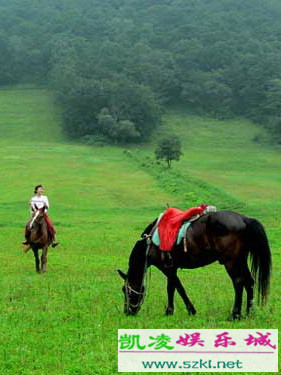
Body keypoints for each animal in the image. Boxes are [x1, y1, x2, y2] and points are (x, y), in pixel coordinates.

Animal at [117, 210, 270, 322]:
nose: (127, 312)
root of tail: (244, 219)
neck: (151, 243)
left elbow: (178, 288)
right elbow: (172, 288)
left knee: (238, 282)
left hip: (231, 261)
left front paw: (188, 310)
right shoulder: (172, 268)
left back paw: (235, 315)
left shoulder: (167, 269)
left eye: (125, 290)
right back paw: (249, 313)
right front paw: (171, 311)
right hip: (240, 260)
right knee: (249, 282)